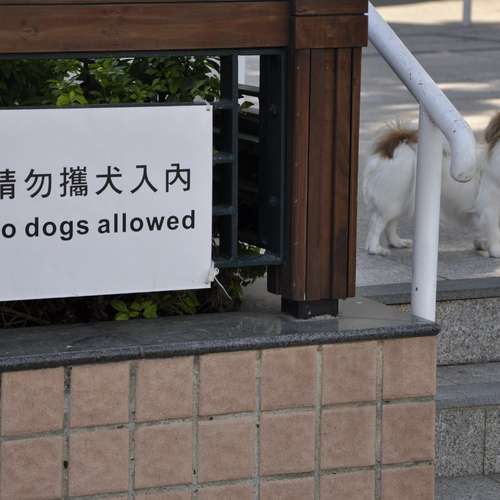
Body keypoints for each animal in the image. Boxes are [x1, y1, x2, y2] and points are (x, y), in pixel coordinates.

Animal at [362, 114, 500, 257]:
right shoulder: (490, 211)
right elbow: (494, 232)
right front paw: (496, 251)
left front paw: (483, 244)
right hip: (392, 202)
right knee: (377, 222)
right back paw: (375, 249)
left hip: (399, 201)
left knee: (391, 224)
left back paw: (397, 242)